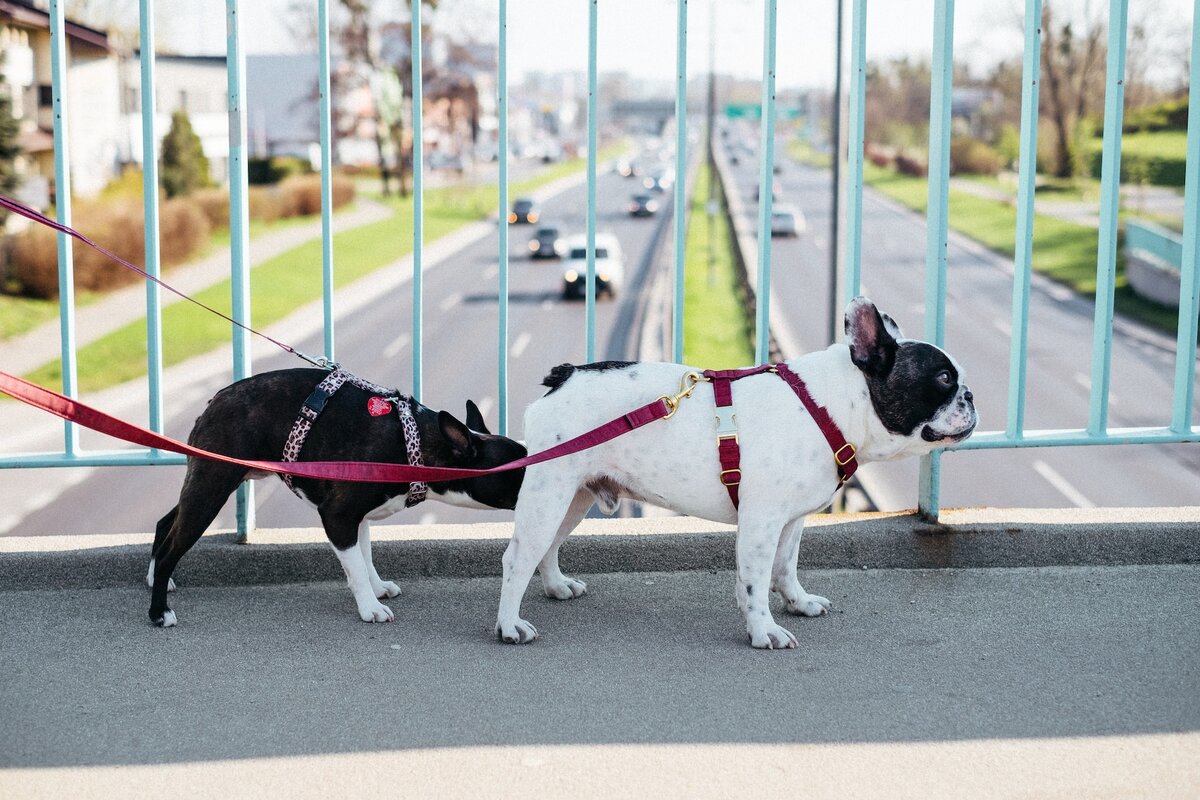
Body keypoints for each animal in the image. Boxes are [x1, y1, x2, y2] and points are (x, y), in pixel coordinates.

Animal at [150, 367, 525, 623]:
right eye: (519, 471)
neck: (415, 444)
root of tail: (214, 400)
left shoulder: (359, 519)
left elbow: (365, 557)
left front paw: (376, 588)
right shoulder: (338, 516)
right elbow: (355, 565)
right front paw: (370, 607)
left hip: (209, 479)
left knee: (165, 522)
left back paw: (156, 579)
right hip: (212, 487)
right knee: (172, 548)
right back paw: (159, 611)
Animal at [494, 297, 974, 647]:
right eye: (943, 378)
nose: (970, 394)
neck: (832, 406)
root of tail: (564, 376)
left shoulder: (791, 521)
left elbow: (785, 567)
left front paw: (798, 603)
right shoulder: (761, 522)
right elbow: (756, 581)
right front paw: (764, 631)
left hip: (573, 497)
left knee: (547, 547)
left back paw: (557, 587)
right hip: (549, 493)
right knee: (518, 556)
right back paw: (509, 625)